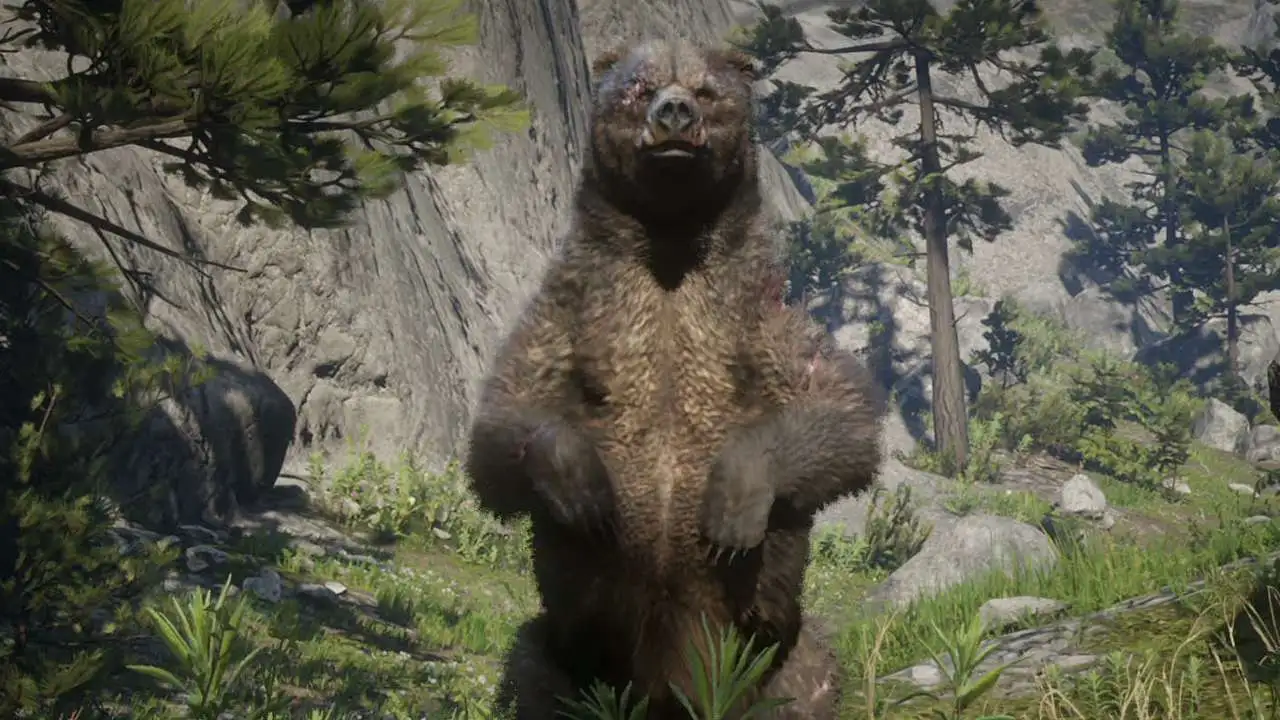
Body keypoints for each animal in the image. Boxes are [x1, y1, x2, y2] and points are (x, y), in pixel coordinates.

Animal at [463, 37, 885, 719]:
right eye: (640, 87)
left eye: (706, 90)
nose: (675, 113)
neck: (668, 251)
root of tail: (667, 697)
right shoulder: (568, 312)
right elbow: (504, 424)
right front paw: (586, 491)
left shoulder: (759, 318)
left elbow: (838, 414)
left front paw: (730, 510)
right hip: (567, 653)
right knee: (532, 670)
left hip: (773, 658)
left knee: (813, 671)